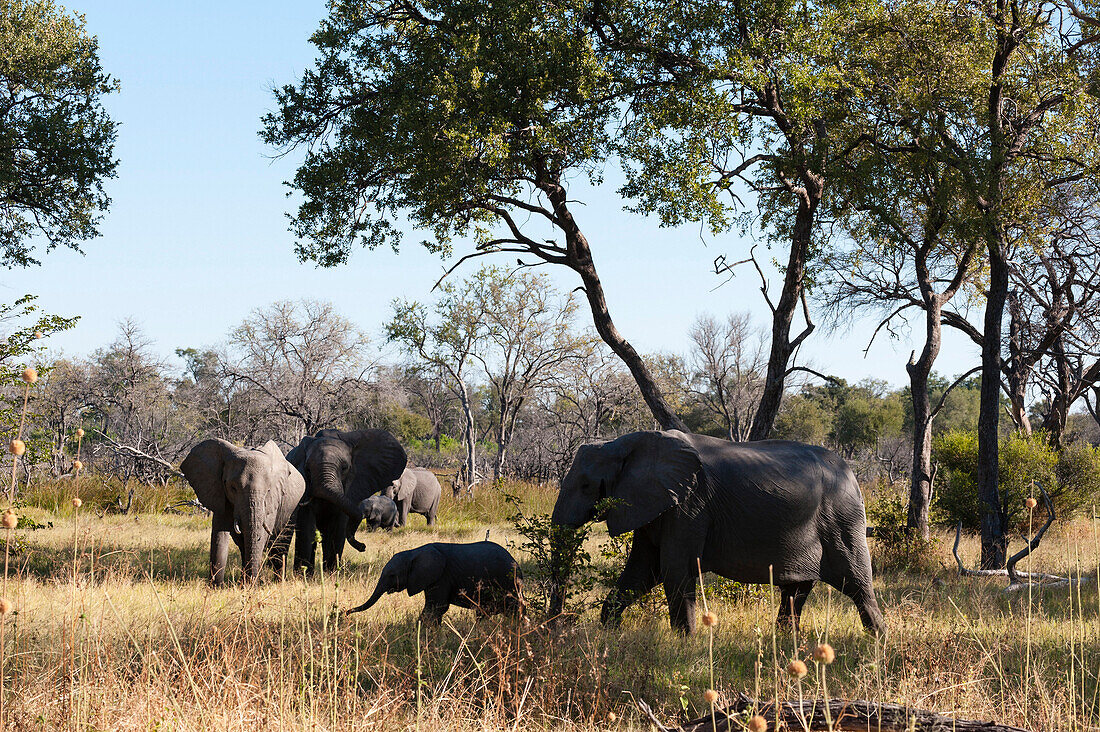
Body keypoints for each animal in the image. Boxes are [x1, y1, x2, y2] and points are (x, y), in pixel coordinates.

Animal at [181, 435, 305, 585]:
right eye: (232, 487)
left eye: (268, 490)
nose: (253, 584)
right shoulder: (219, 493)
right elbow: (219, 536)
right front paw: (216, 587)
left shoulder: (272, 501)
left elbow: (261, 534)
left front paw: (250, 586)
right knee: (243, 545)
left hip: (293, 507)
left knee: (280, 546)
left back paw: (278, 582)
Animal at [288, 429, 409, 572]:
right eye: (307, 469)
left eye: (344, 468)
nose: (363, 547)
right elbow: (306, 528)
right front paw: (302, 574)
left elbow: (338, 529)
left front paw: (331, 573)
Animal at [349, 539, 525, 625]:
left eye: (392, 575)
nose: (346, 612)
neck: (414, 552)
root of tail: (517, 564)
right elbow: (436, 609)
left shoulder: (442, 576)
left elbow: (435, 607)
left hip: (508, 582)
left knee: (514, 608)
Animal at [550, 429, 884, 634]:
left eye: (586, 485)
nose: (556, 625)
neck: (624, 442)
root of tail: (854, 475)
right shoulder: (654, 504)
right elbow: (642, 571)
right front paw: (610, 633)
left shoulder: (690, 504)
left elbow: (674, 569)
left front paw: (684, 644)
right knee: (796, 589)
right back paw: (787, 644)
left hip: (841, 518)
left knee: (857, 584)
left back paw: (878, 642)